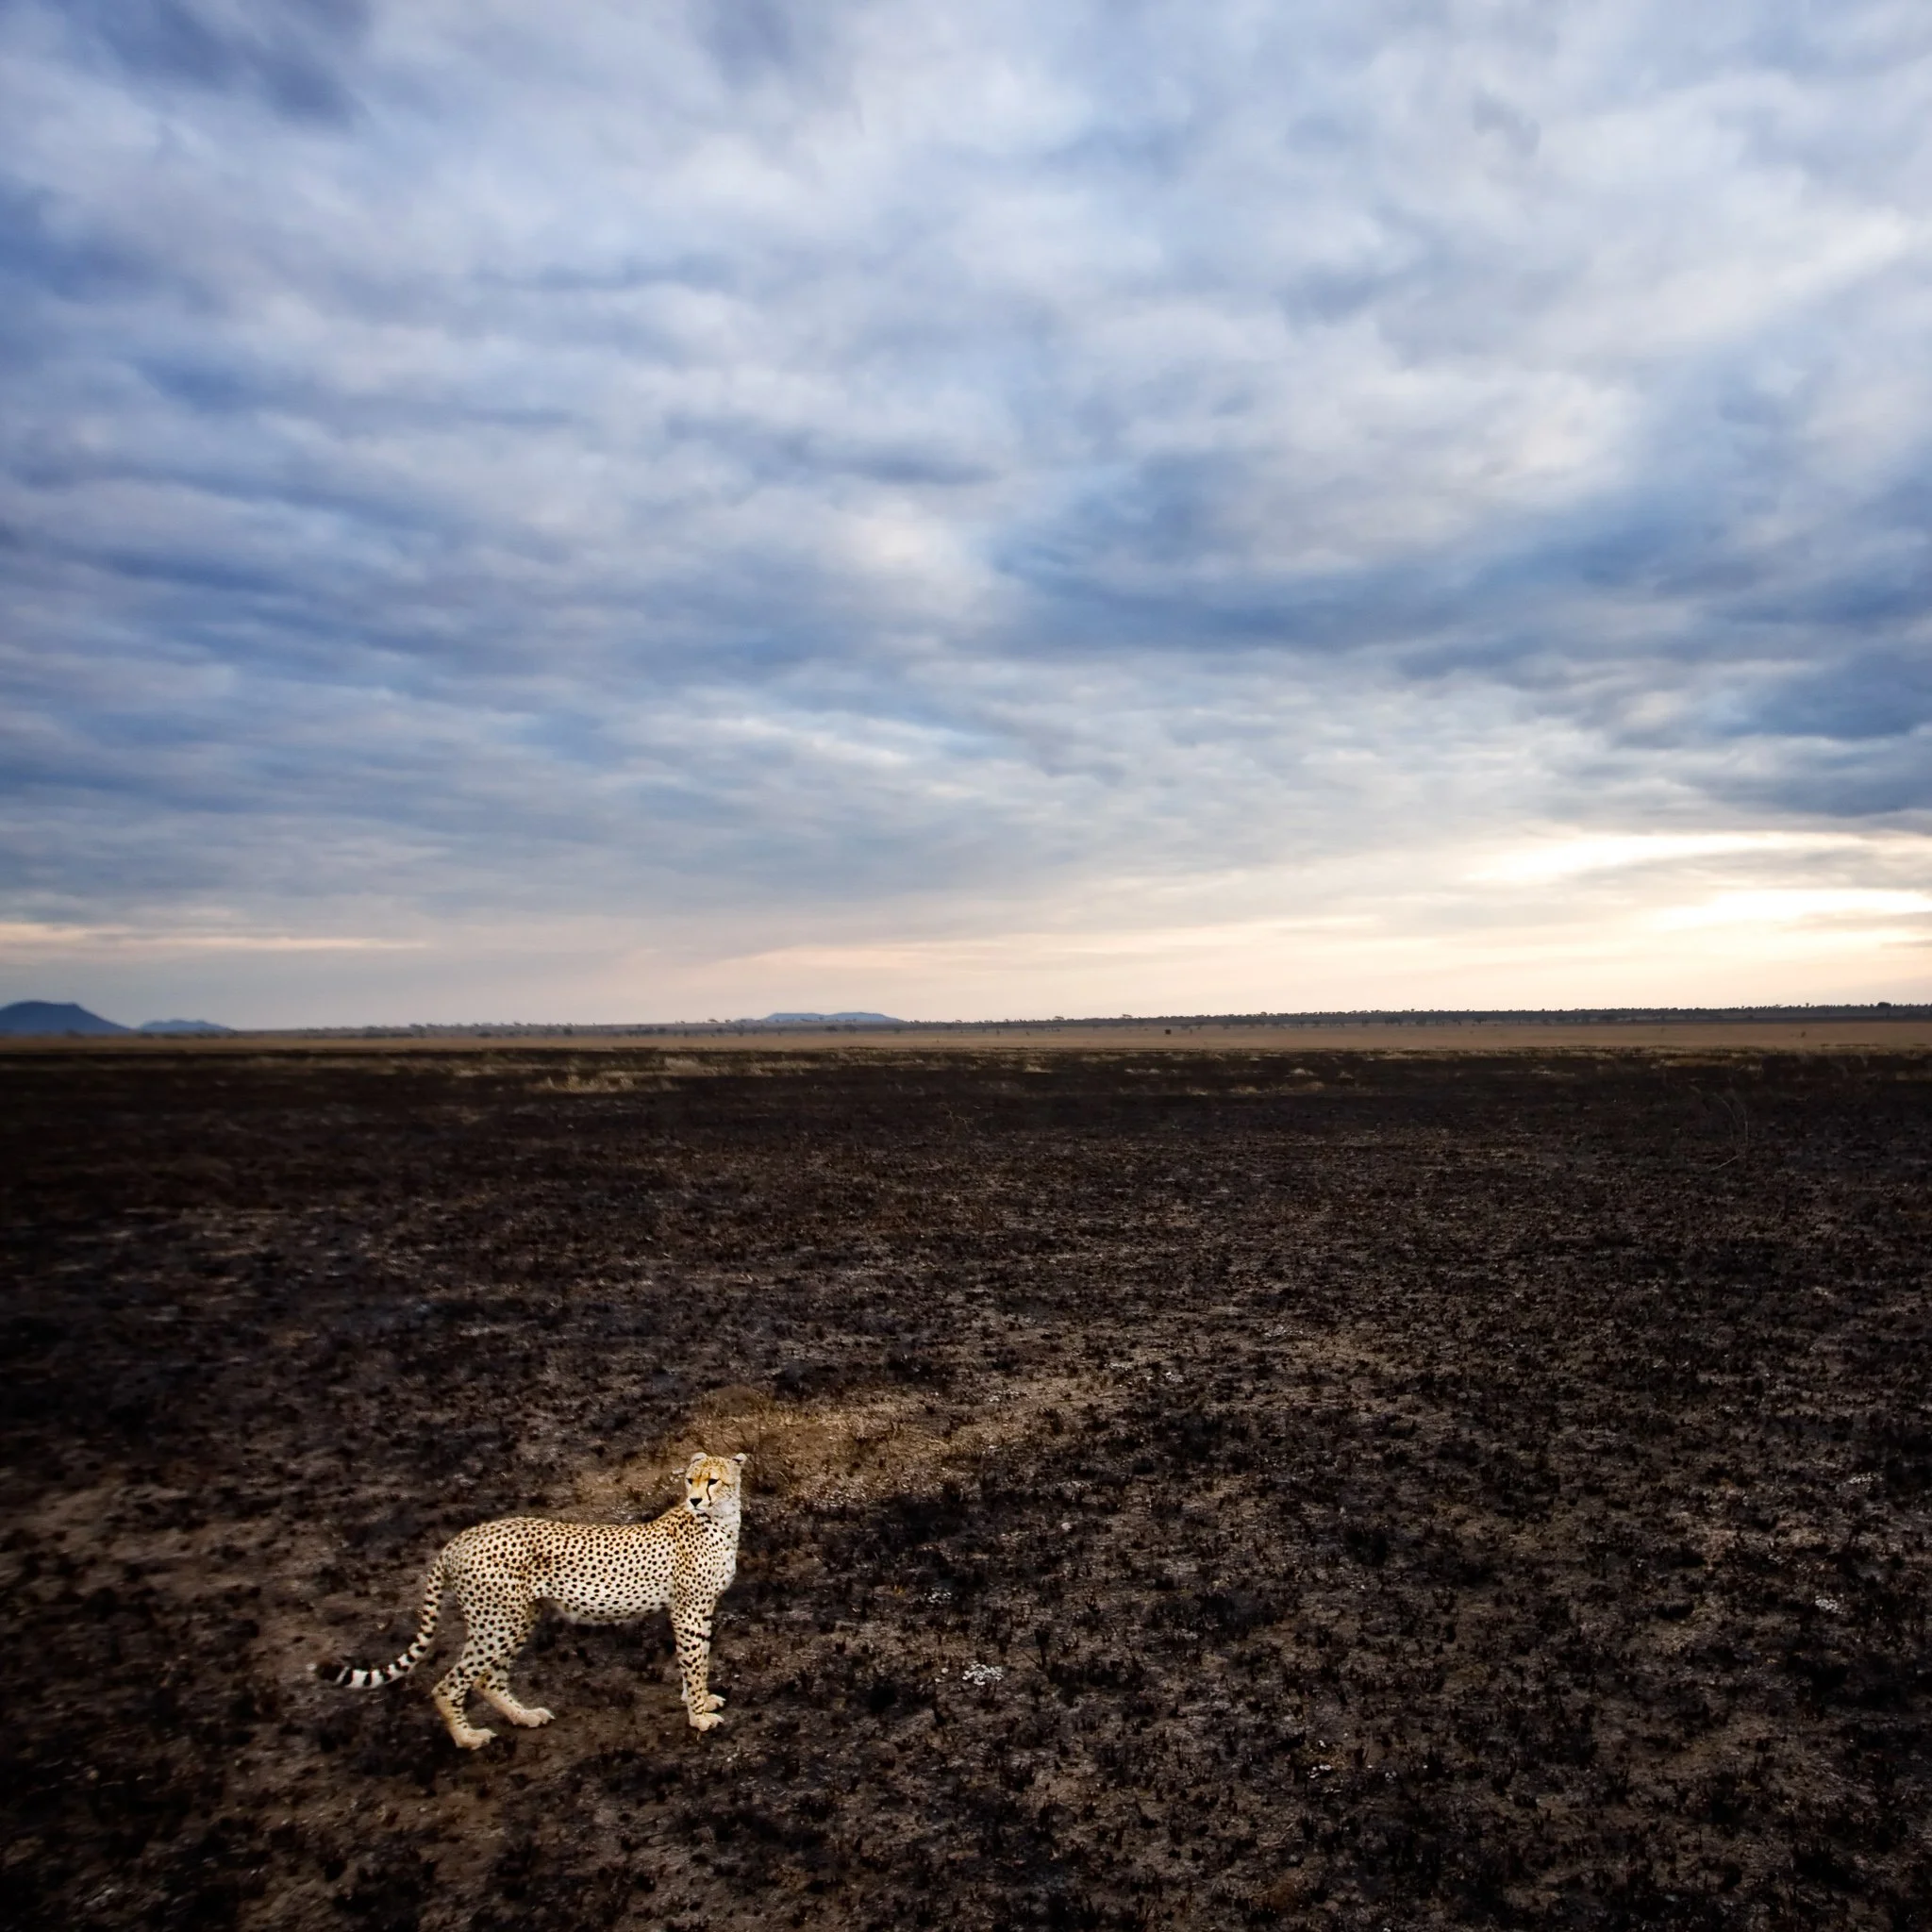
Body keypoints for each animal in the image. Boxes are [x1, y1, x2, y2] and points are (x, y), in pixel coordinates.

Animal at [320, 1451, 747, 1748]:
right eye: (690, 1481)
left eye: (713, 1481)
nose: (695, 1500)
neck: (720, 1521)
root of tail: (462, 1537)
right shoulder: (688, 1610)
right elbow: (694, 1661)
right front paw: (698, 1716)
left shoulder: (699, 1610)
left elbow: (696, 1660)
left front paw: (699, 1699)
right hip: (496, 1622)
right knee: (449, 1684)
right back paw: (468, 1738)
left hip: (517, 1619)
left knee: (487, 1679)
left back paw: (523, 1717)